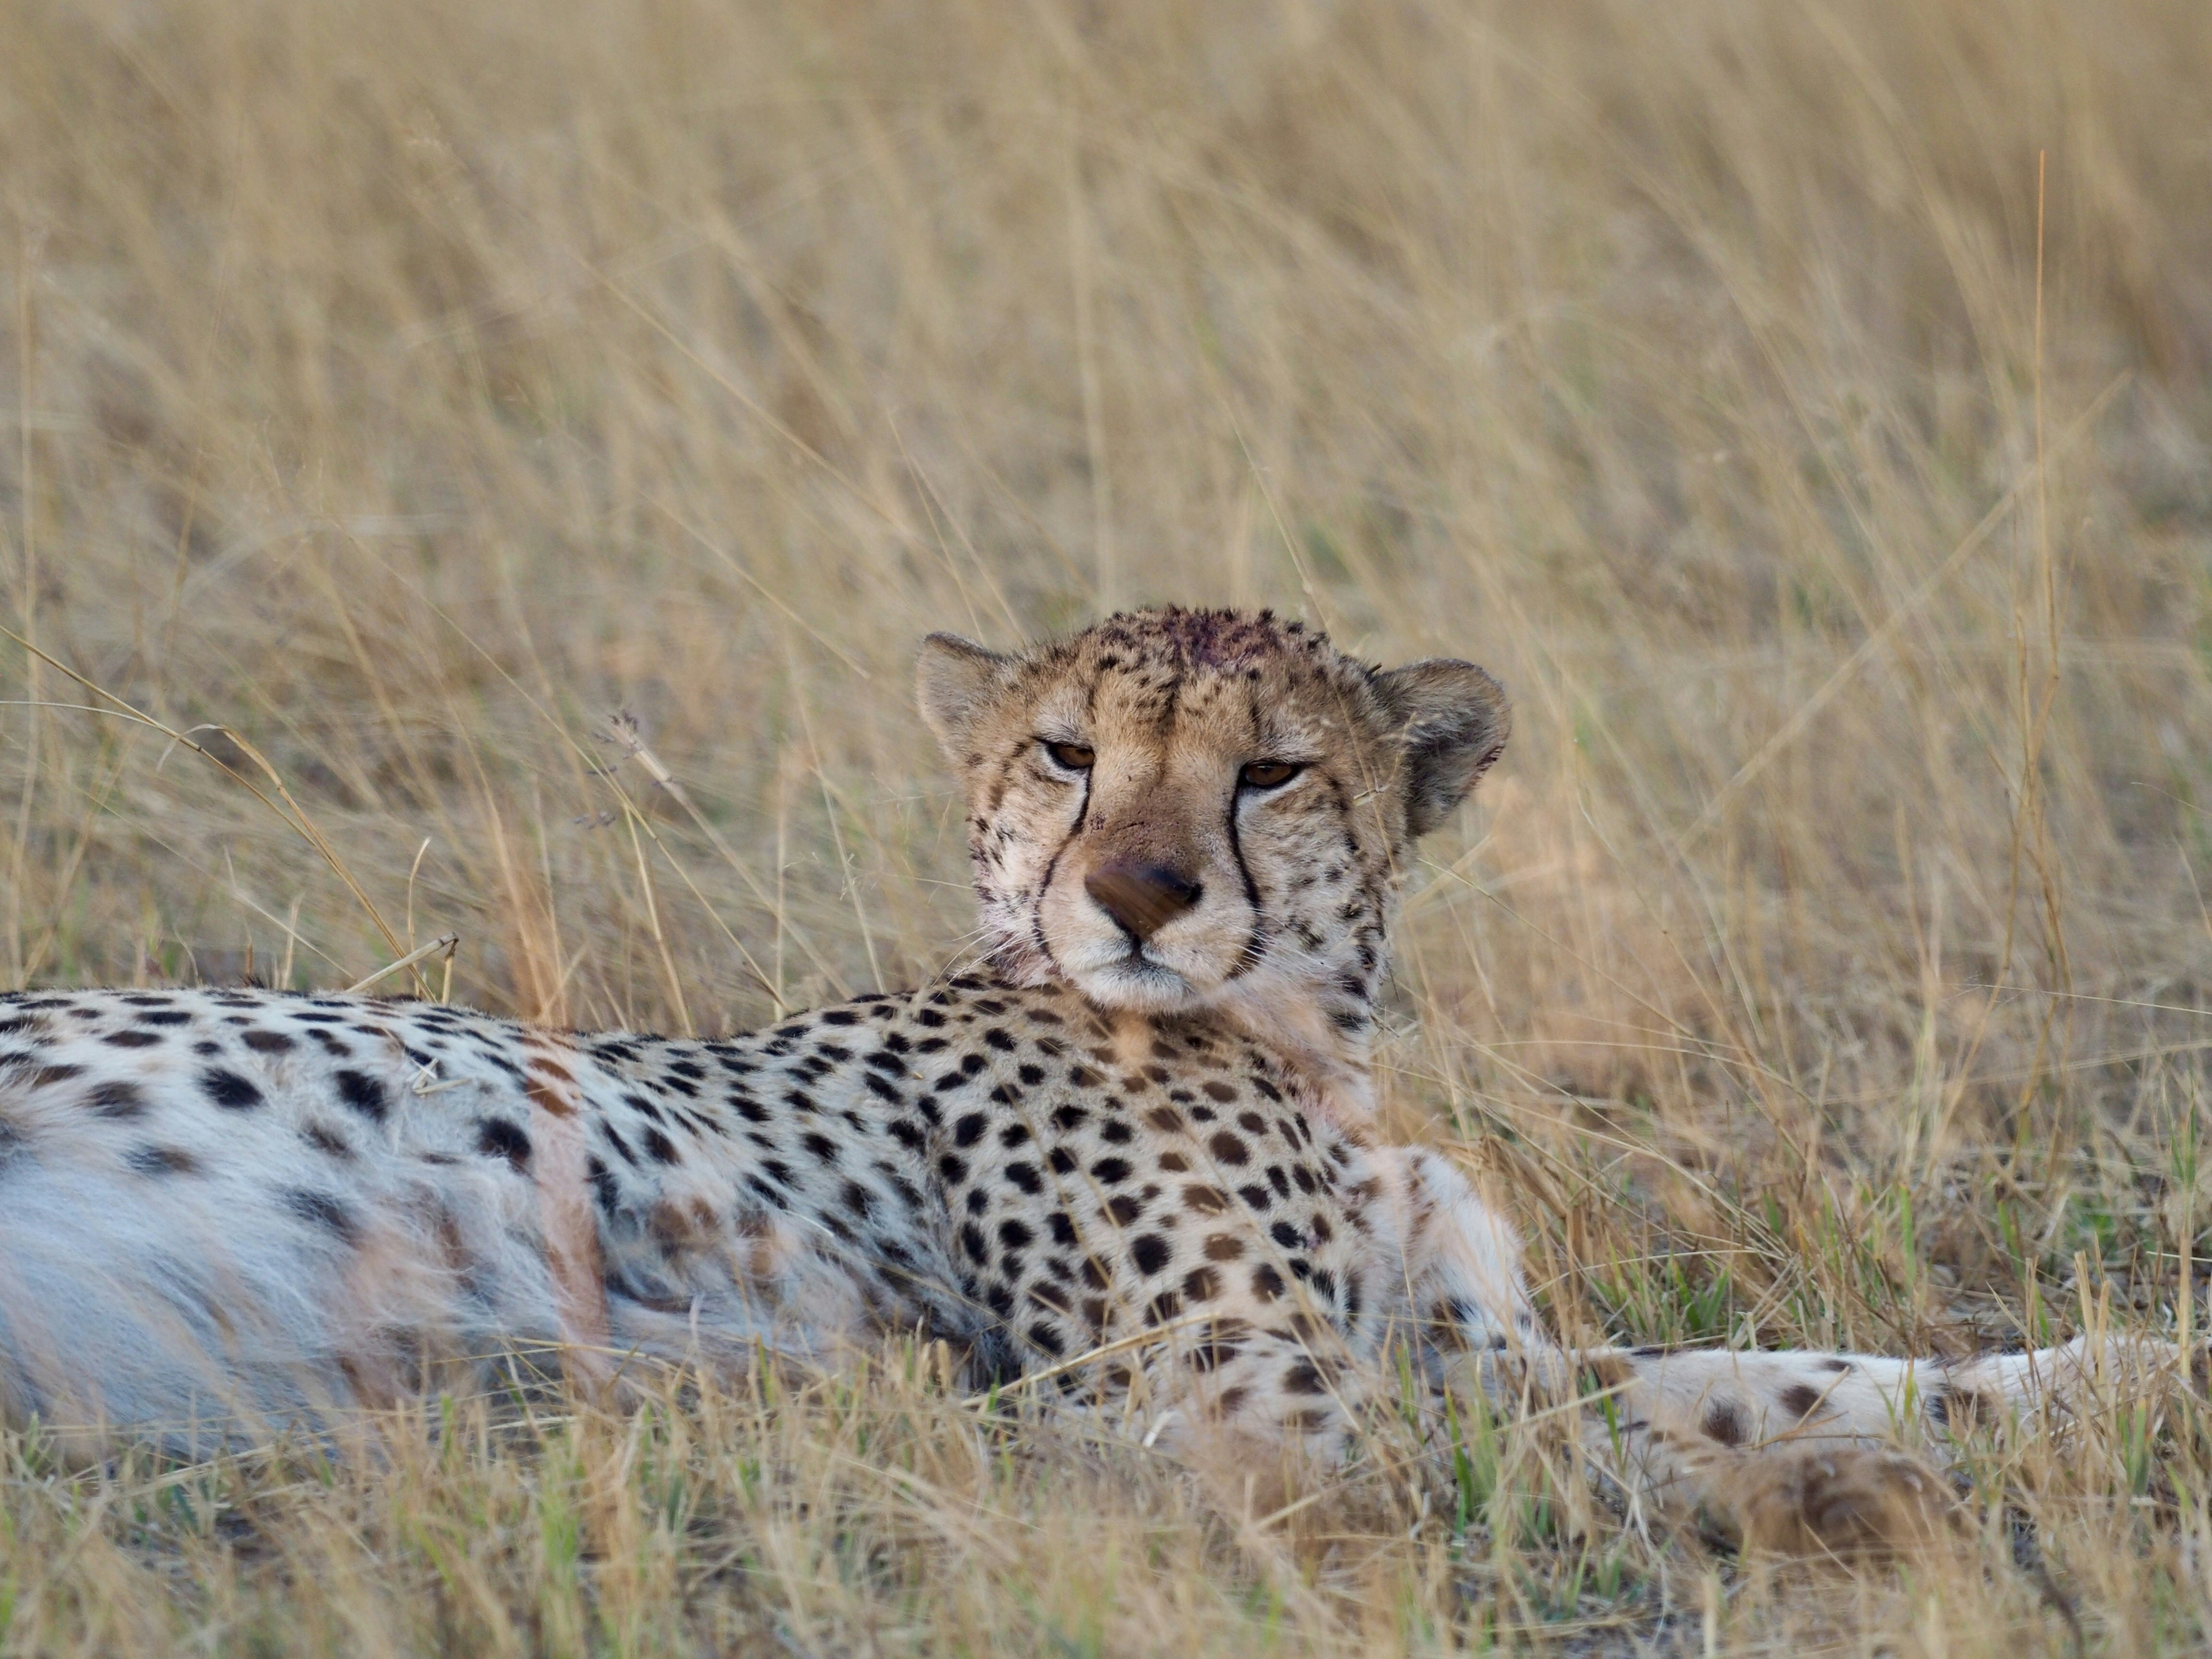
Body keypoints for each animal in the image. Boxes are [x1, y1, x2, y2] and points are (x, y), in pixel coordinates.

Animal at [0, 606, 2188, 1554]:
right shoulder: (1227, 1405)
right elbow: (1603, 1448)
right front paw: (1844, 1493)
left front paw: (2111, 1378)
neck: (1308, 1049)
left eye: (1271, 769)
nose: (1136, 890)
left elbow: (1765, 1367)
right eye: (1064, 754)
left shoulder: (1402, 1351)